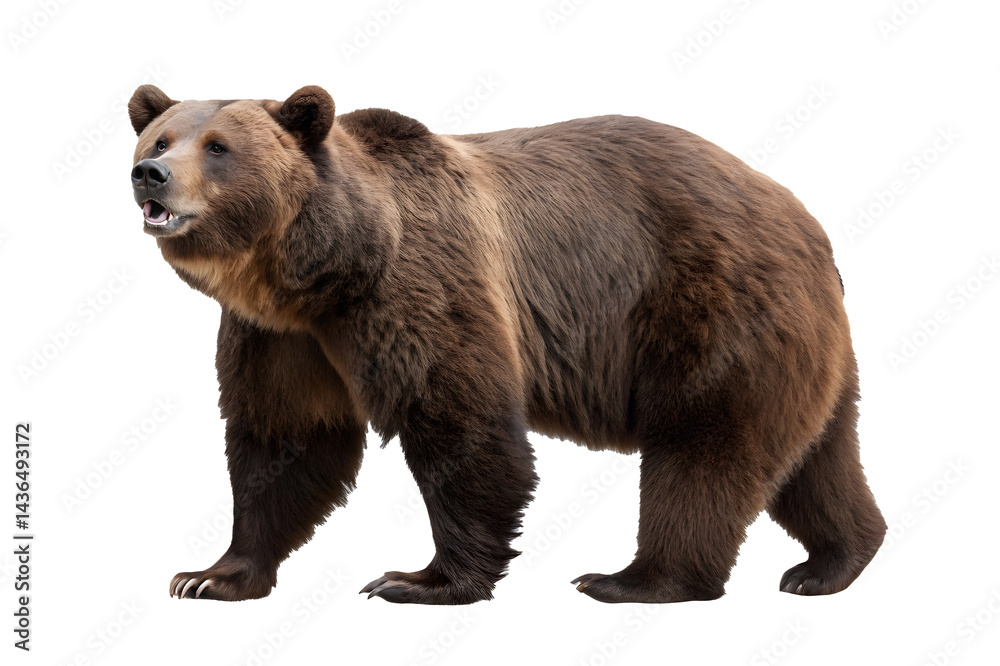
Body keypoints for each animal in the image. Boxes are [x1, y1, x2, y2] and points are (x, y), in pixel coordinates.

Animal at [128, 84, 886, 605]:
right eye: (161, 139)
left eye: (218, 146)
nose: (150, 176)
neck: (317, 270)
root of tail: (809, 222)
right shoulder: (282, 337)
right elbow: (284, 440)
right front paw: (210, 575)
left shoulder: (418, 284)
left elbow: (461, 422)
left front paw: (420, 579)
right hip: (801, 343)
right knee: (817, 456)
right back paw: (832, 562)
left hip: (712, 305)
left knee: (705, 446)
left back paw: (635, 578)